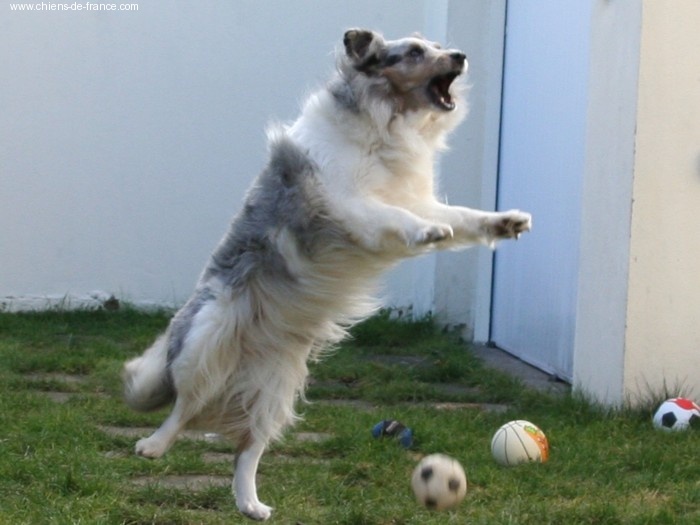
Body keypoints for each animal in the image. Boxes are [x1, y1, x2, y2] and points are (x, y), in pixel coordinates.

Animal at [124, 29, 532, 520]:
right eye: (415, 52)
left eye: (437, 45)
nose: (460, 55)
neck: (384, 122)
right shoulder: (346, 202)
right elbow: (396, 216)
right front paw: (426, 231)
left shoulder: (416, 198)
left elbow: (465, 217)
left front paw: (504, 222)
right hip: (206, 339)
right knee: (184, 405)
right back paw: (152, 445)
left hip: (274, 390)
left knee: (247, 449)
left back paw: (251, 505)